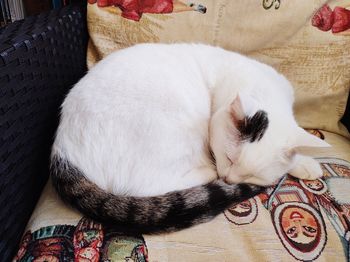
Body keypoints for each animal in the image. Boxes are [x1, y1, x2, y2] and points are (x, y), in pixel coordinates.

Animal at [50, 43, 330, 233]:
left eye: (253, 175)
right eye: (229, 158)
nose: (228, 179)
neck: (262, 88)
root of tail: (61, 150)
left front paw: (305, 163)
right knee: (147, 186)